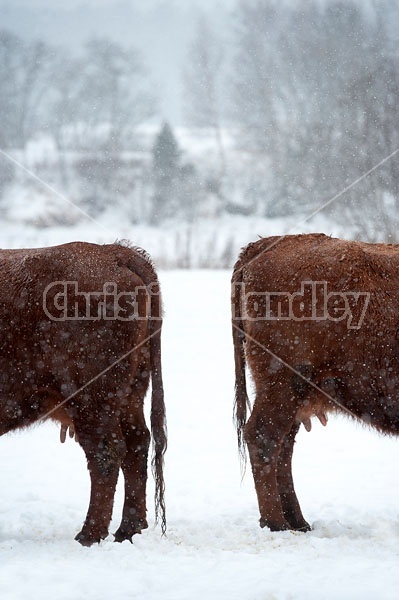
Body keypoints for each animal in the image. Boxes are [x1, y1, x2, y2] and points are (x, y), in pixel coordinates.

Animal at [0, 239, 166, 544]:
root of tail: (112, 252)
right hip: (130, 395)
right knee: (137, 444)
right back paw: (128, 529)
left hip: (90, 401)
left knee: (106, 454)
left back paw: (90, 534)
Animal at [233, 232, 399, 532]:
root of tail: (263, 244)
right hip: (283, 386)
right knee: (264, 437)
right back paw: (277, 523)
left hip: (294, 395)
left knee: (283, 446)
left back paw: (297, 522)